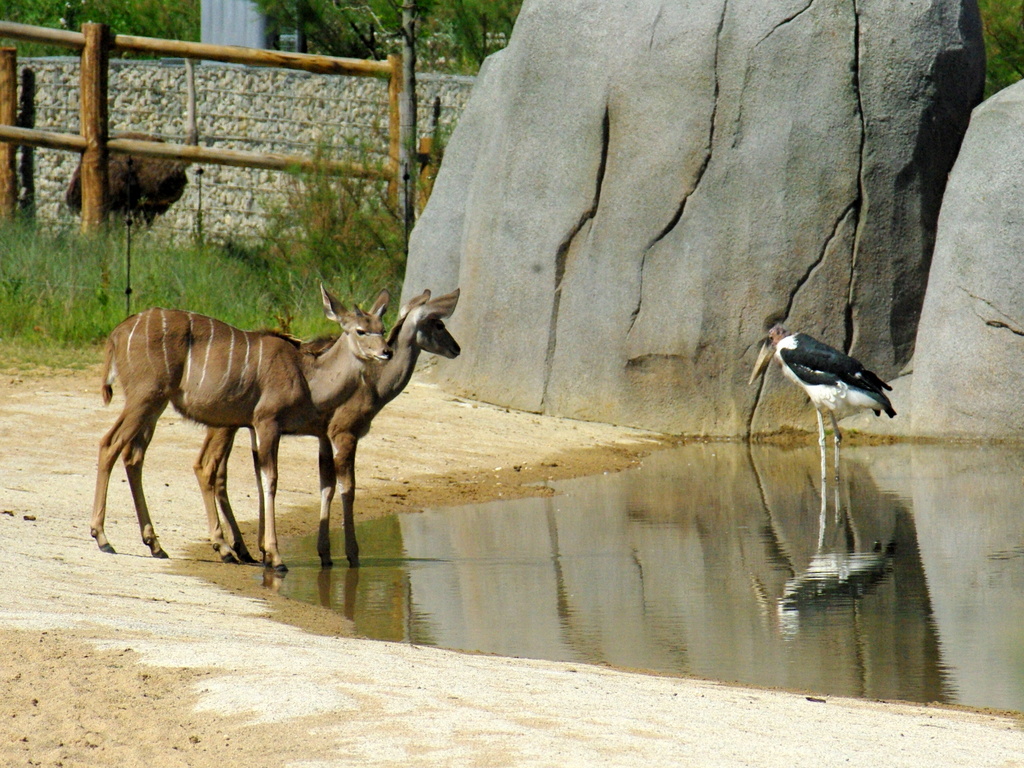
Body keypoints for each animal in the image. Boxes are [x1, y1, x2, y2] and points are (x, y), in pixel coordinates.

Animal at [90, 286, 391, 573]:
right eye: (361, 330)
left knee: (134, 456)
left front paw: (264, 553)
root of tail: (118, 333)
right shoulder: (267, 421)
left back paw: (155, 544)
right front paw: (275, 557)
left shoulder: (255, 427)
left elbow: (260, 479)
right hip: (144, 397)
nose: (386, 352)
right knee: (109, 444)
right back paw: (103, 537)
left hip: (155, 404)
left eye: (382, 328)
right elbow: (270, 480)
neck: (306, 376)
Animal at [195, 288, 460, 573]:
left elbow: (326, 485)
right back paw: (227, 548)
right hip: (227, 426)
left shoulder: (322, 436)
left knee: (221, 474)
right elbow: (348, 488)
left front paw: (323, 553)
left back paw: (242, 549)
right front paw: (352, 554)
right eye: (438, 323)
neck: (375, 383)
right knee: (208, 468)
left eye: (382, 328)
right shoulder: (344, 432)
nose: (456, 348)